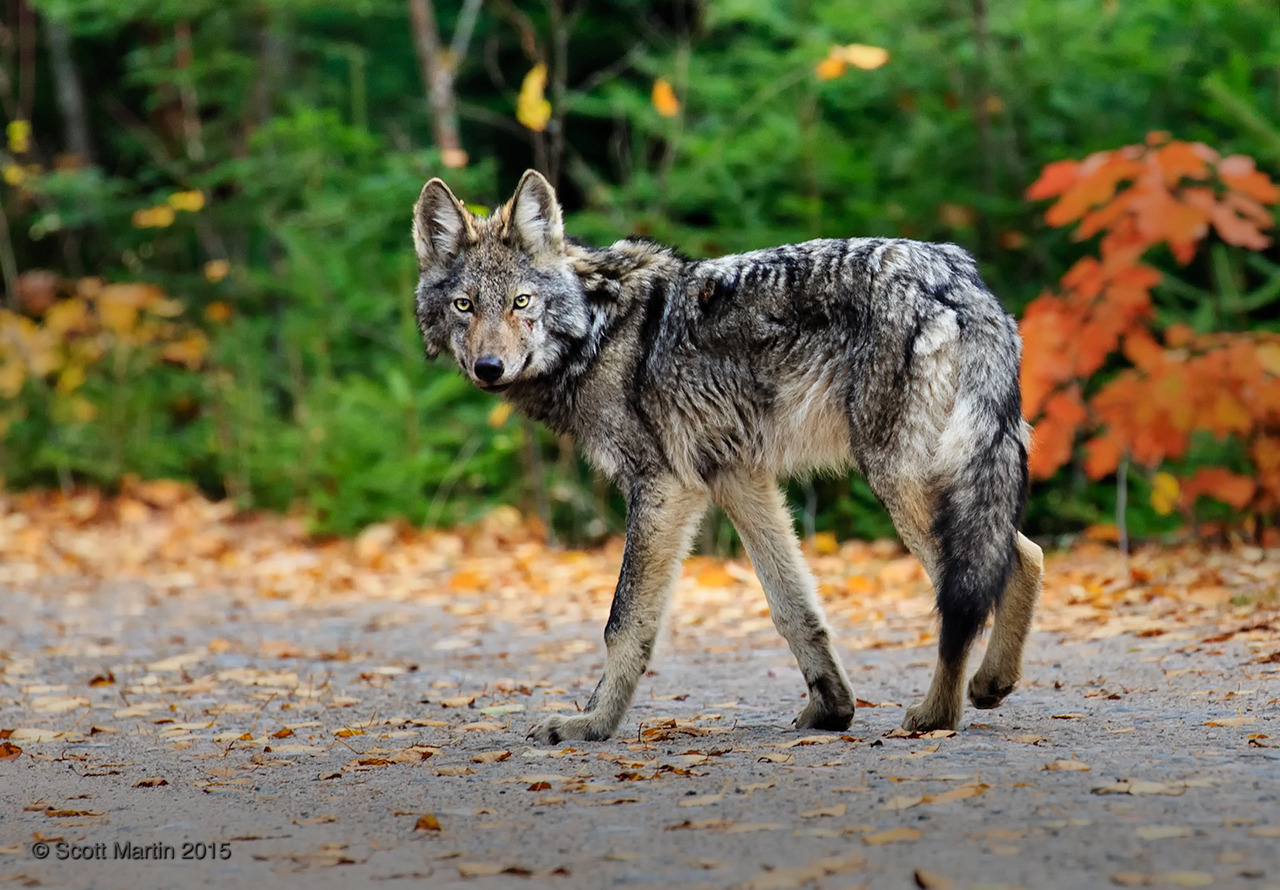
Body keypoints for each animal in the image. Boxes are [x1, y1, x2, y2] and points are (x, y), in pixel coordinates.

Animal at [409, 170, 1039, 742]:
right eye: (465, 306)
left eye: (521, 302)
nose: (489, 368)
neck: (596, 332)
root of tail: (957, 277)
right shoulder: (739, 480)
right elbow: (793, 608)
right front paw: (831, 710)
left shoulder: (664, 487)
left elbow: (623, 621)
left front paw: (591, 723)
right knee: (1024, 558)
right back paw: (991, 685)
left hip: (897, 479)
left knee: (987, 576)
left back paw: (937, 715)